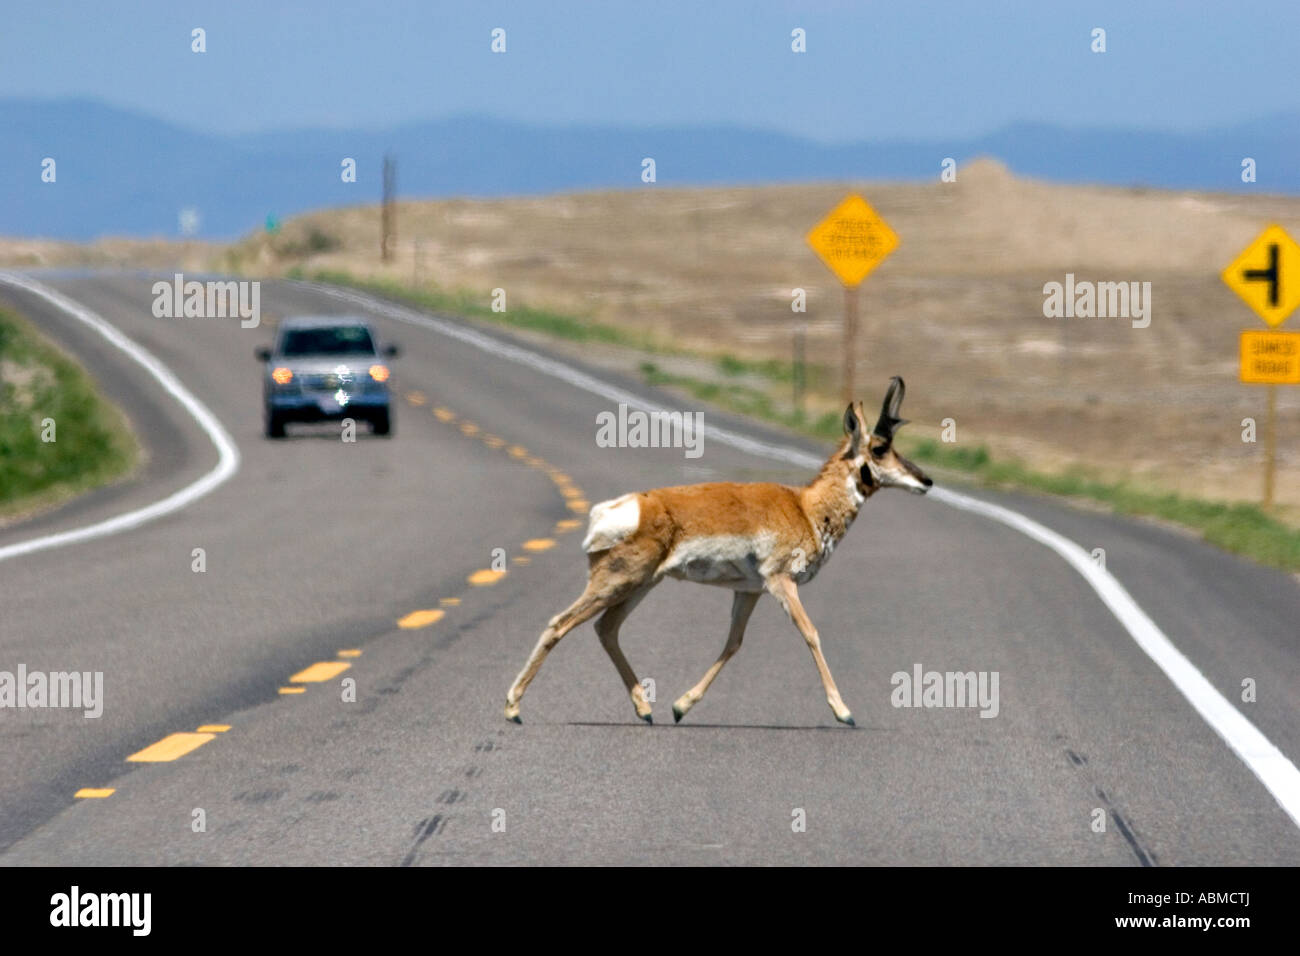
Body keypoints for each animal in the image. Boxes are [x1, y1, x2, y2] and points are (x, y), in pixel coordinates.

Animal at [501, 377, 930, 728]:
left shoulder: (749, 590)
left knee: (606, 628)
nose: (926, 480)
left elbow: (733, 643)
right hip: (617, 581)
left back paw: (645, 709)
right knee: (559, 623)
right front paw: (844, 711)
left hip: (641, 584)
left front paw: (680, 706)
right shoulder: (780, 582)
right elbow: (810, 633)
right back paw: (513, 708)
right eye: (880, 448)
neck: (805, 507)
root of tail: (619, 508)